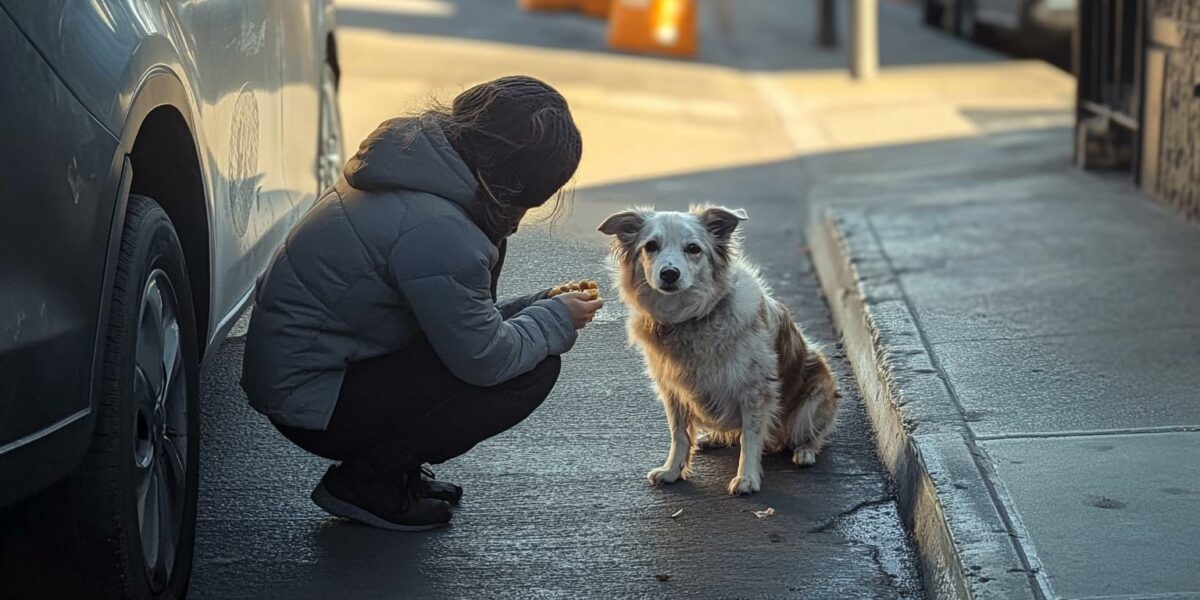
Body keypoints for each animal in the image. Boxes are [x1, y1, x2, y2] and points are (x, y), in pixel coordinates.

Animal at [595, 206, 840, 496]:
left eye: (693, 248)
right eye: (650, 245)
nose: (669, 273)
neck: (689, 319)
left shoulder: (755, 390)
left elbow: (750, 438)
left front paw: (747, 478)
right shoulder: (672, 390)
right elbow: (679, 434)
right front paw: (672, 470)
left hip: (814, 398)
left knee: (814, 434)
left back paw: (804, 452)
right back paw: (713, 438)